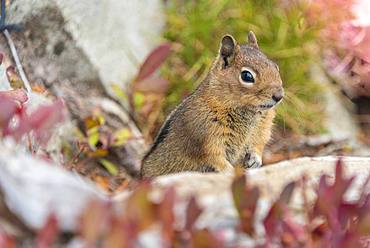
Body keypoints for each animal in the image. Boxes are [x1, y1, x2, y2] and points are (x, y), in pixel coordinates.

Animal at [142, 32, 284, 177]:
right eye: (247, 76)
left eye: (275, 66)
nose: (279, 96)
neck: (247, 112)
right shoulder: (207, 139)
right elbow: (215, 158)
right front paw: (231, 171)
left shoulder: (263, 128)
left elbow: (258, 144)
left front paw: (256, 159)